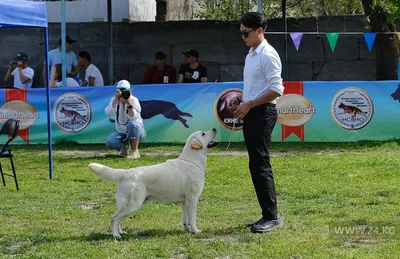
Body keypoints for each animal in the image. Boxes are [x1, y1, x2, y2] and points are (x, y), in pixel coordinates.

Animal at [88, 129, 219, 239]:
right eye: (203, 134)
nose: (214, 129)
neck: (192, 161)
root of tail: (125, 172)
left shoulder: (184, 201)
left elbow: (185, 218)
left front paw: (187, 229)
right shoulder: (192, 199)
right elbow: (193, 218)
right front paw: (195, 231)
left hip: (126, 204)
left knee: (118, 218)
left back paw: (121, 232)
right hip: (133, 204)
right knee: (114, 218)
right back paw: (116, 235)